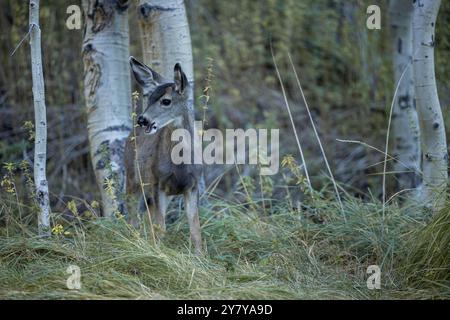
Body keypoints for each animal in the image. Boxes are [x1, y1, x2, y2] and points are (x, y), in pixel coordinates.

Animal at [126, 57, 204, 252]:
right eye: (149, 98)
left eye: (166, 101)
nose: (142, 119)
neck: (180, 165)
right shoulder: (156, 183)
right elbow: (160, 227)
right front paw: (158, 253)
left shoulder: (193, 185)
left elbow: (195, 229)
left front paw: (200, 256)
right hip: (133, 179)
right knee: (133, 218)